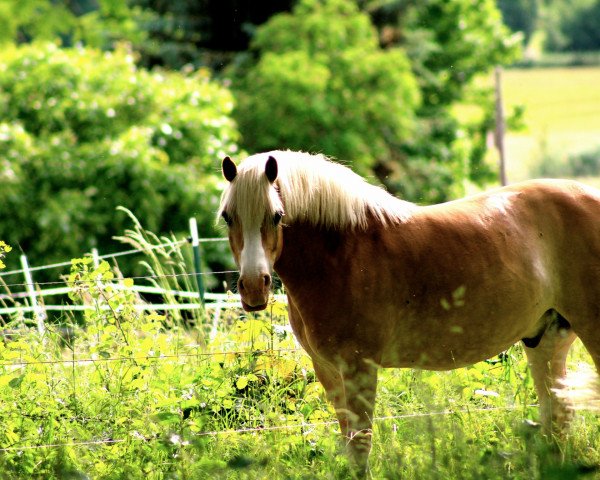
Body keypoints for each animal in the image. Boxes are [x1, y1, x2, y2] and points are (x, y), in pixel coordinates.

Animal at [218, 151, 600, 476]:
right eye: (227, 217)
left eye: (277, 216)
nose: (253, 288)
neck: (341, 254)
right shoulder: (328, 370)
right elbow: (348, 442)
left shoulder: (359, 367)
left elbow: (361, 445)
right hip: (546, 338)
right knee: (557, 412)